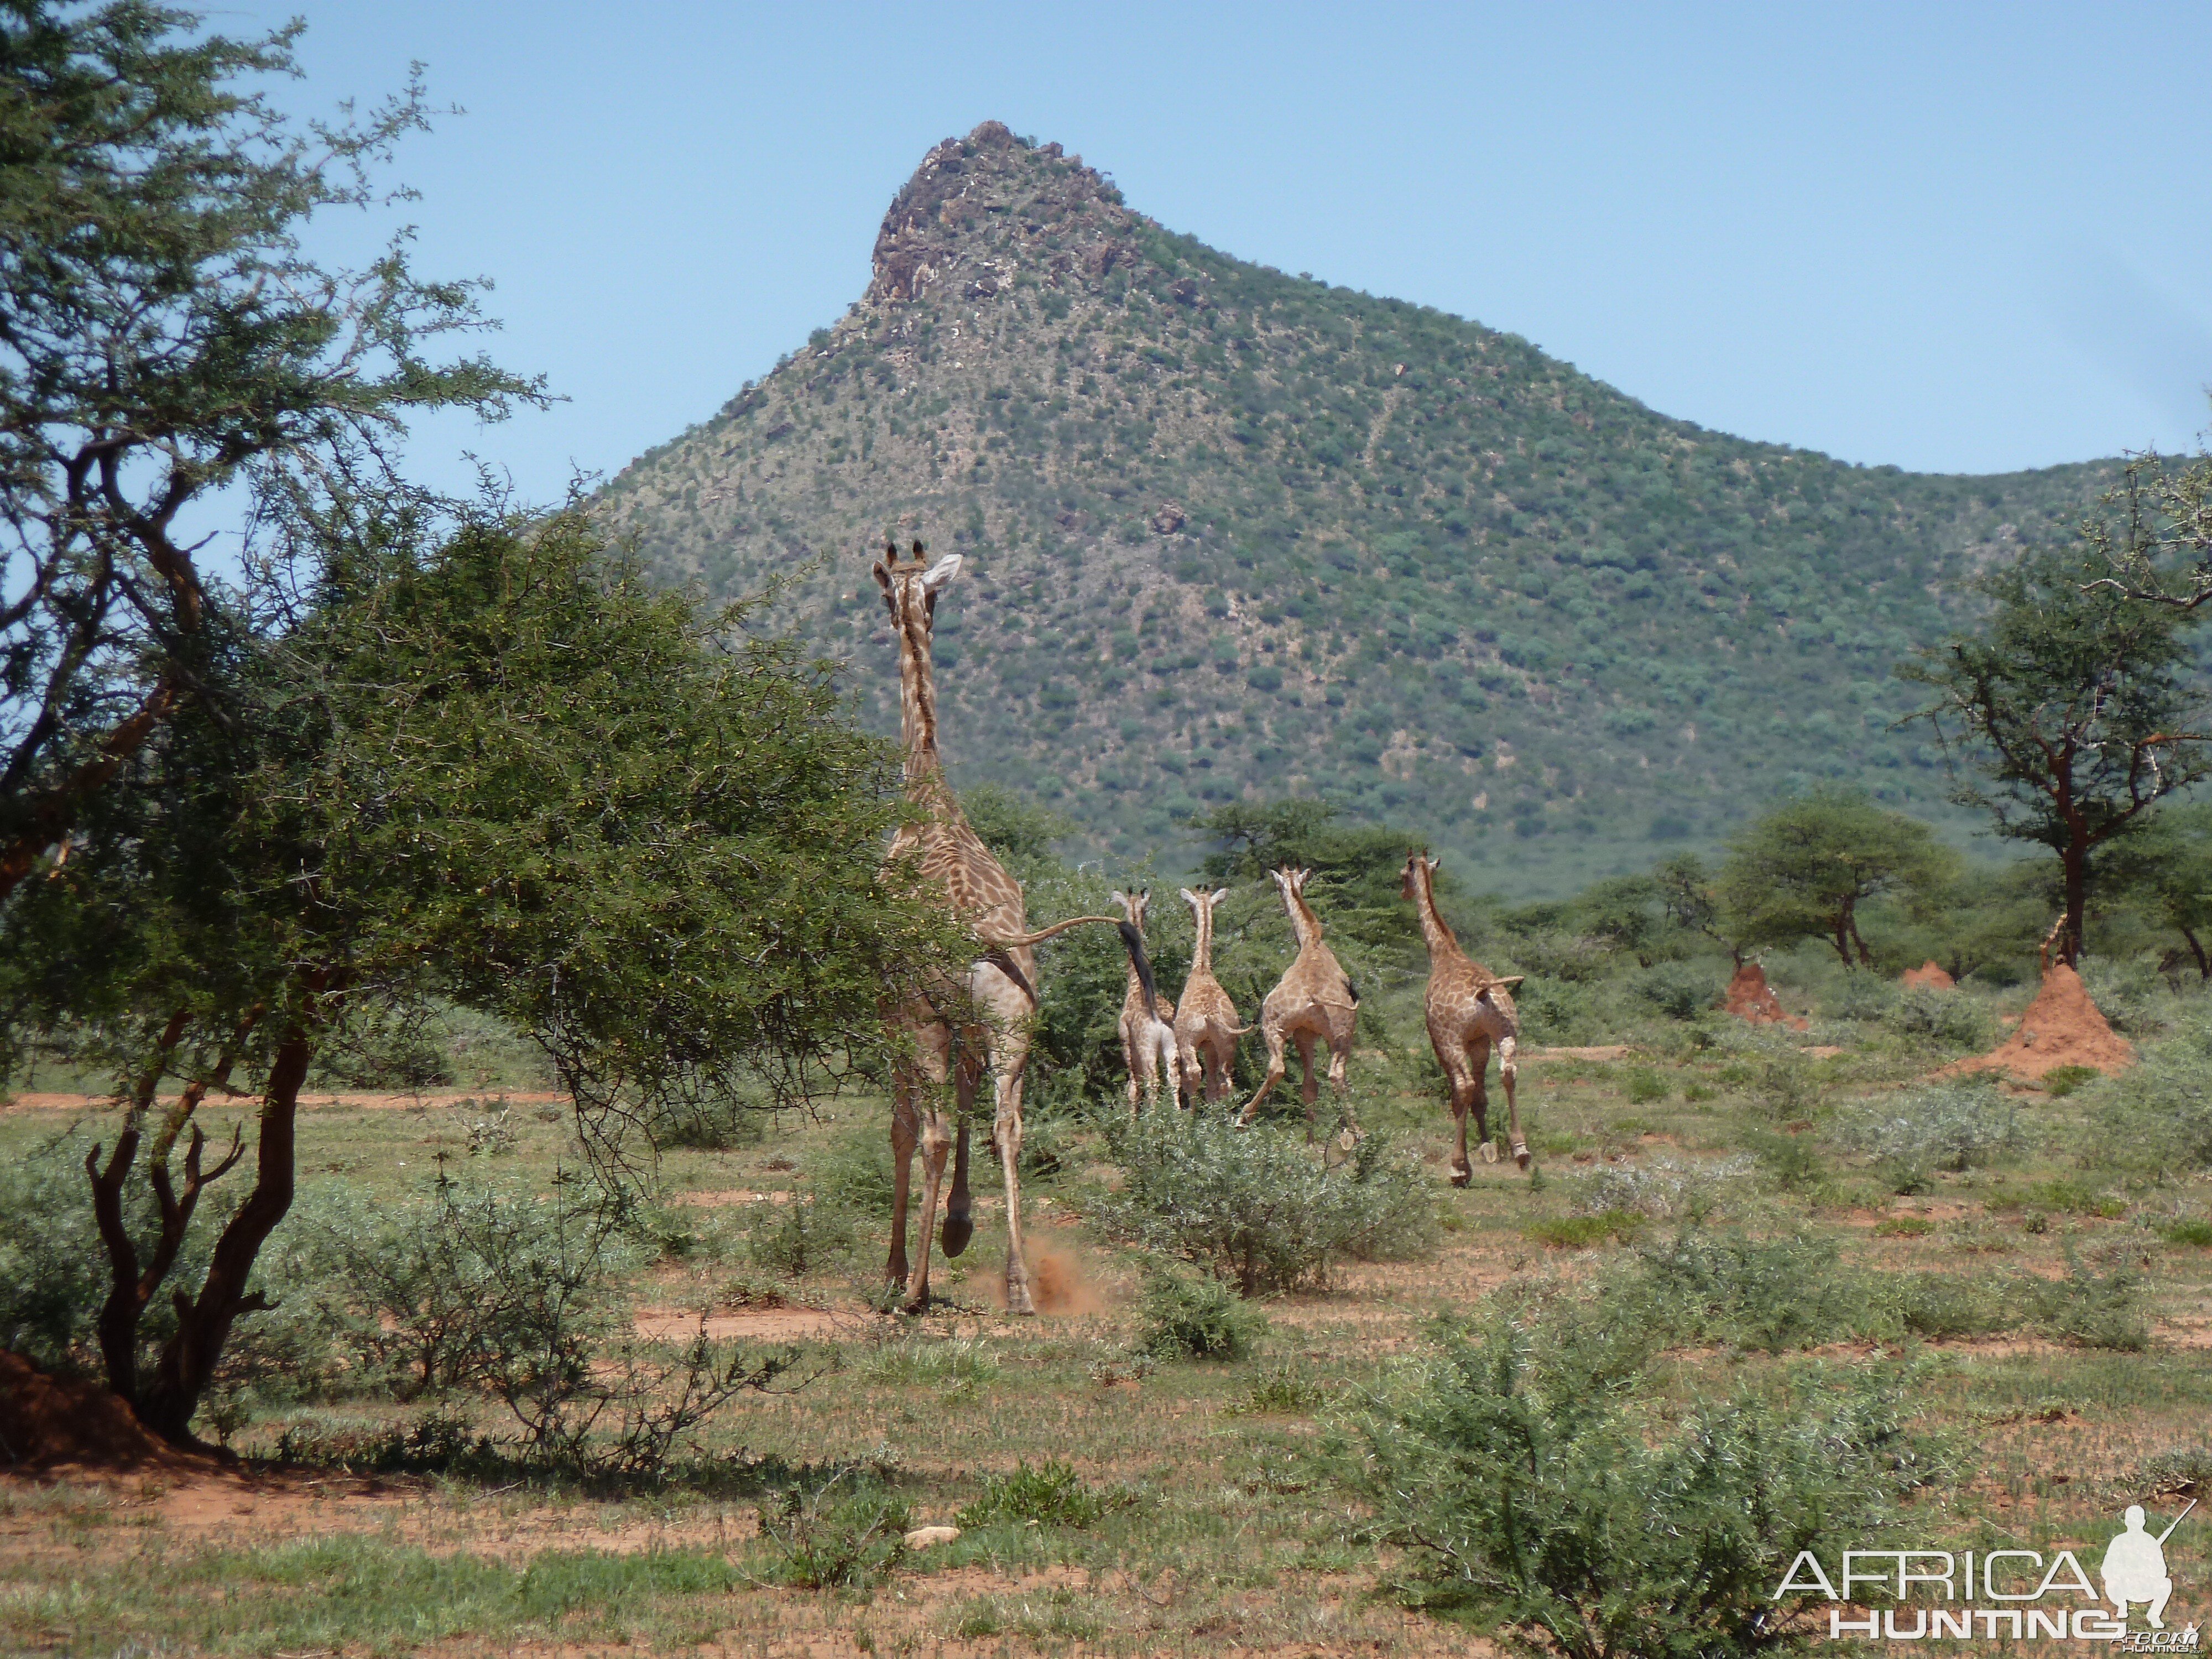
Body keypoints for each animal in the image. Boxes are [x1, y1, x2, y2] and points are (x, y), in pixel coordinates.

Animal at [867, 540, 1141, 1318]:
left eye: (884, 593)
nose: (894, 607)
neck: (927, 793)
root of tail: (976, 934)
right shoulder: (972, 1018)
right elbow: (970, 1107)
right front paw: (959, 1229)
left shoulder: (892, 1010)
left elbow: (903, 1128)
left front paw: (898, 1269)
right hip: (1013, 1014)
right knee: (1008, 1123)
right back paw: (1019, 1284)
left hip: (926, 1015)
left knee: (929, 1131)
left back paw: (914, 1292)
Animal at [1115, 898, 1186, 1119]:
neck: (1136, 983)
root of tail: (1159, 1018)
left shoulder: (1127, 1041)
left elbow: (1132, 1087)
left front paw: (1132, 1123)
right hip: (1172, 1045)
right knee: (1174, 1079)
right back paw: (1178, 1120)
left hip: (1147, 1047)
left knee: (1152, 1082)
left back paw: (1153, 1122)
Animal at [1177, 889, 1248, 1110]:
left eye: (1190, 906)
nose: (1192, 920)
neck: (1201, 969)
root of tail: (1211, 1014)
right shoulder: (1210, 1045)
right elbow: (1213, 1088)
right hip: (1228, 1043)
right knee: (1226, 1080)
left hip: (1187, 1040)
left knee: (1193, 1072)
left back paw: (1189, 1115)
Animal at [1239, 872, 1354, 1141]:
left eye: (1278, 888)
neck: (1310, 940)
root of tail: (1313, 993)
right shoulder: (1307, 1032)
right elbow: (1310, 1086)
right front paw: (1312, 1142)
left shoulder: (1302, 1032)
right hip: (1341, 1034)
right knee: (1334, 1075)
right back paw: (1353, 1134)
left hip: (1273, 1024)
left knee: (1278, 1067)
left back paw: (1243, 1117)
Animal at [1398, 858, 1522, 1186]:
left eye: (1403, 875)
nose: (1403, 893)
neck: (1444, 953)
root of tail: (1483, 992)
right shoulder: (1479, 1041)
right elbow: (1481, 1096)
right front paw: (1489, 1147)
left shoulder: (1438, 1038)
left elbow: (1458, 1094)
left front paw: (1468, 1160)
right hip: (1505, 1032)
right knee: (1508, 1072)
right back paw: (1521, 1150)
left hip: (1451, 1038)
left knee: (1464, 1086)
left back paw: (1458, 1168)